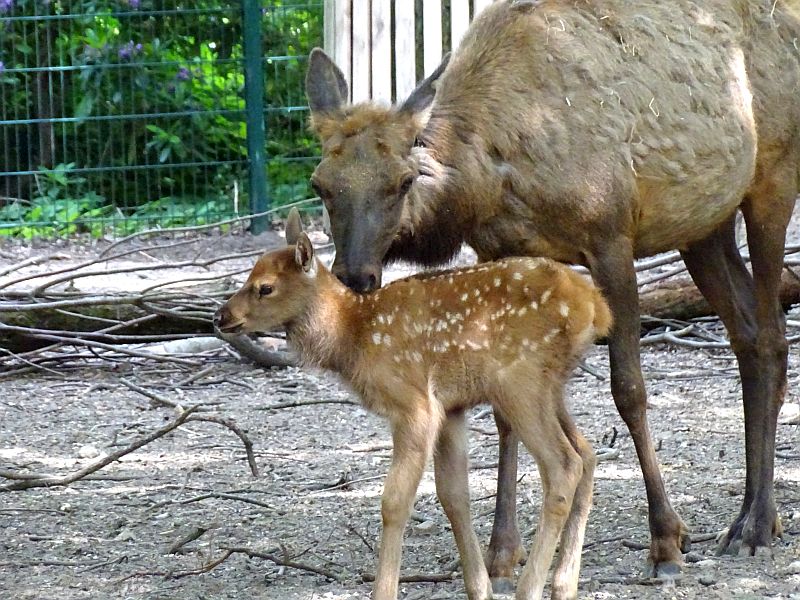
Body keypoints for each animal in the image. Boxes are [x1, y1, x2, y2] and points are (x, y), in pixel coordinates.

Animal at [304, 0, 800, 584]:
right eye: (320, 184)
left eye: (403, 181)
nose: (355, 275)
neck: (487, 178)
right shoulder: (498, 251)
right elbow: (502, 414)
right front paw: (501, 551)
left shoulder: (612, 238)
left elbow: (629, 389)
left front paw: (665, 540)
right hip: (703, 225)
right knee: (746, 334)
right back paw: (751, 515)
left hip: (773, 179)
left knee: (772, 335)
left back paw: (757, 523)